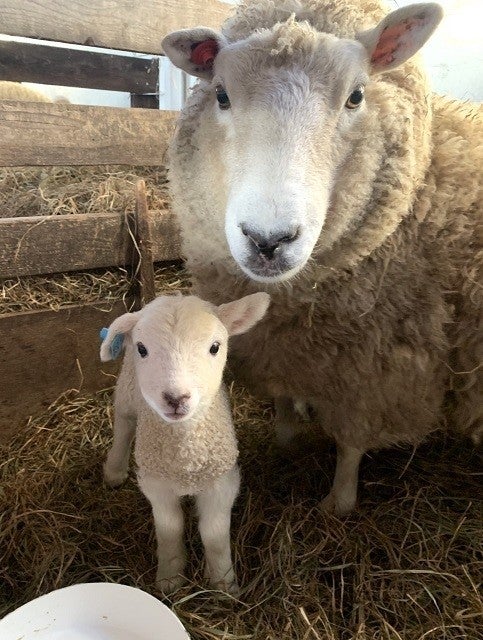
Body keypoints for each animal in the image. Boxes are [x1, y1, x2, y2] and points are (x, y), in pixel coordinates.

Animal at [100, 292, 270, 592]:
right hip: (128, 392)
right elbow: (171, 528)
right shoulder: (156, 483)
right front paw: (170, 578)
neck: (186, 458)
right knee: (123, 427)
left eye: (215, 347)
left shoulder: (221, 481)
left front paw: (223, 584)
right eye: (142, 349)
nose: (176, 398)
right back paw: (114, 472)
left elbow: (213, 533)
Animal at [162, 1, 480, 516]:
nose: (268, 240)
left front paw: (339, 500)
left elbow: (351, 442)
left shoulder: (371, 369)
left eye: (357, 96)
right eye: (221, 94)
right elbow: (283, 400)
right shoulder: (283, 347)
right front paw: (287, 436)